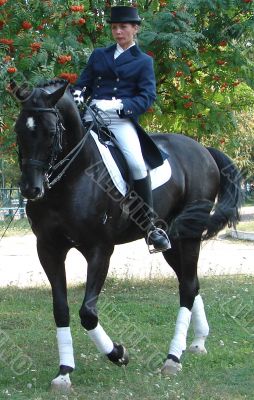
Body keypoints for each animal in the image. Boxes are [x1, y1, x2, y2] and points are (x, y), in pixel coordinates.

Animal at [11, 79, 242, 390]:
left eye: (50, 132)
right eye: (19, 130)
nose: (31, 189)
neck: (73, 176)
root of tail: (202, 149)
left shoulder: (99, 249)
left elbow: (88, 313)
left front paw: (118, 353)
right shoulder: (48, 249)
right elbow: (61, 309)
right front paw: (64, 371)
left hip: (189, 236)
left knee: (187, 287)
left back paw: (173, 358)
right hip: (172, 242)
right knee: (190, 282)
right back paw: (197, 342)